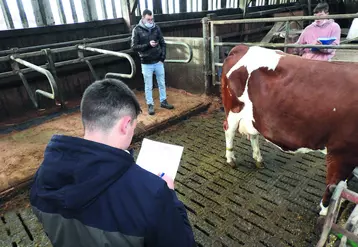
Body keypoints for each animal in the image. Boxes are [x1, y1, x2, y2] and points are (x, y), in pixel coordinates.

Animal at [221, 44, 358, 216]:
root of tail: (242, 47)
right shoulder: (342, 152)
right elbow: (332, 187)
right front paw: (325, 212)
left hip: (254, 115)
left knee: (253, 135)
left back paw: (258, 159)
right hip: (233, 109)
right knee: (229, 131)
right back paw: (231, 159)